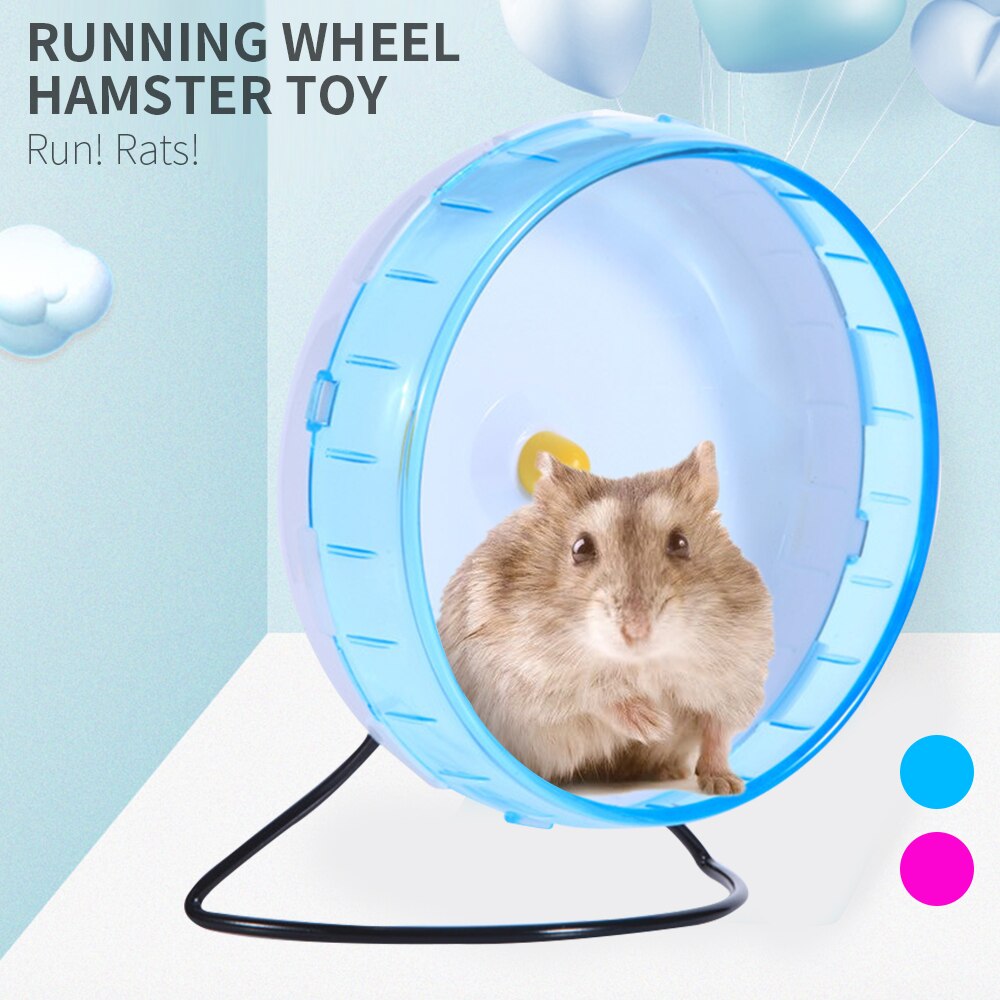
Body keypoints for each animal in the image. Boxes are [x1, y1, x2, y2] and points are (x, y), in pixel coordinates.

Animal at [437, 442, 773, 795]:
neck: (644, 663)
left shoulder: (735, 677)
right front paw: (654, 724)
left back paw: (670, 771)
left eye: (681, 542)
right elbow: (598, 697)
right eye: (580, 547)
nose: (636, 632)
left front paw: (726, 786)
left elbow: (717, 732)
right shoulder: (526, 673)